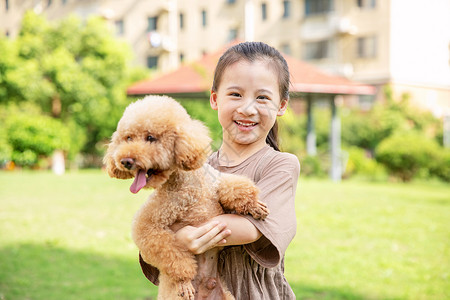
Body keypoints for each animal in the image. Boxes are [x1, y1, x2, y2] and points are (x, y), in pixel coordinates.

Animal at [103, 95, 268, 298]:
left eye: (150, 138)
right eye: (128, 138)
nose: (125, 161)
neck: (186, 183)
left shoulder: (215, 181)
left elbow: (234, 186)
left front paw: (254, 205)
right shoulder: (148, 224)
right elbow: (169, 252)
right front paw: (183, 279)